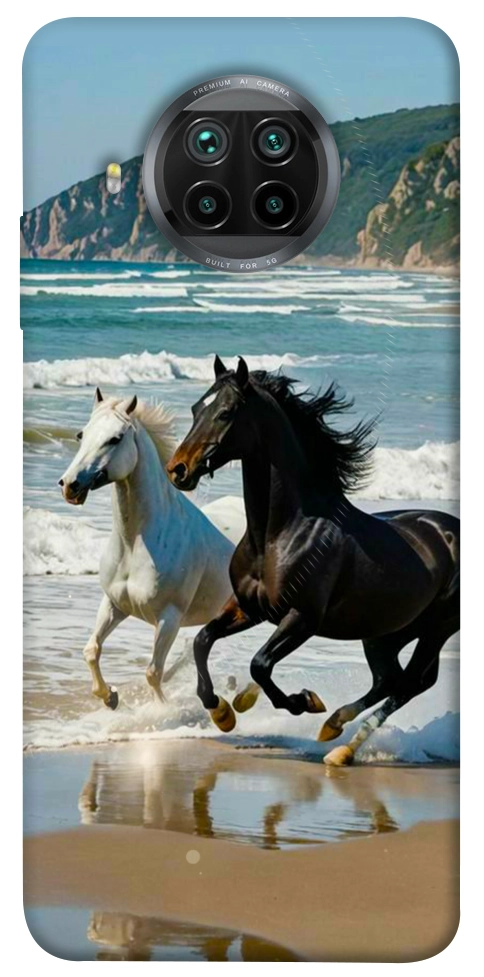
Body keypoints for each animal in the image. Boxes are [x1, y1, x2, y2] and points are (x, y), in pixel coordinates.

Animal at [59, 388, 234, 709]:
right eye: (81, 434)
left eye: (115, 438)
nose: (70, 485)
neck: (135, 544)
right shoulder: (114, 604)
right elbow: (91, 650)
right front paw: (110, 697)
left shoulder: (169, 618)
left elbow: (153, 672)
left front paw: (161, 711)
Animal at [166, 356, 459, 765]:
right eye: (196, 409)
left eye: (225, 413)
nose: (178, 469)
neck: (280, 534)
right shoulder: (248, 608)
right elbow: (202, 641)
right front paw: (223, 711)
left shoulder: (302, 618)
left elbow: (260, 664)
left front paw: (302, 701)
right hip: (386, 632)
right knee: (390, 679)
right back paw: (334, 729)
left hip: (436, 628)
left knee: (411, 683)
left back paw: (341, 746)